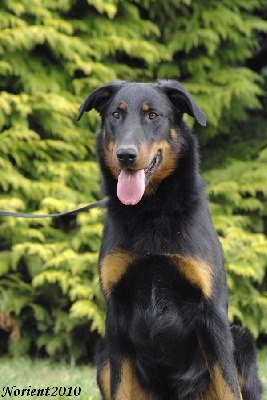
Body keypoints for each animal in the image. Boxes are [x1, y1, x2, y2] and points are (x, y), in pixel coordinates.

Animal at [78, 81, 264, 400]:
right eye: (116, 114)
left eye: (153, 115)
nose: (126, 155)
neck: (151, 210)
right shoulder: (116, 317)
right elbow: (119, 386)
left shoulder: (211, 313)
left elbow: (228, 385)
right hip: (103, 356)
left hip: (240, 341)